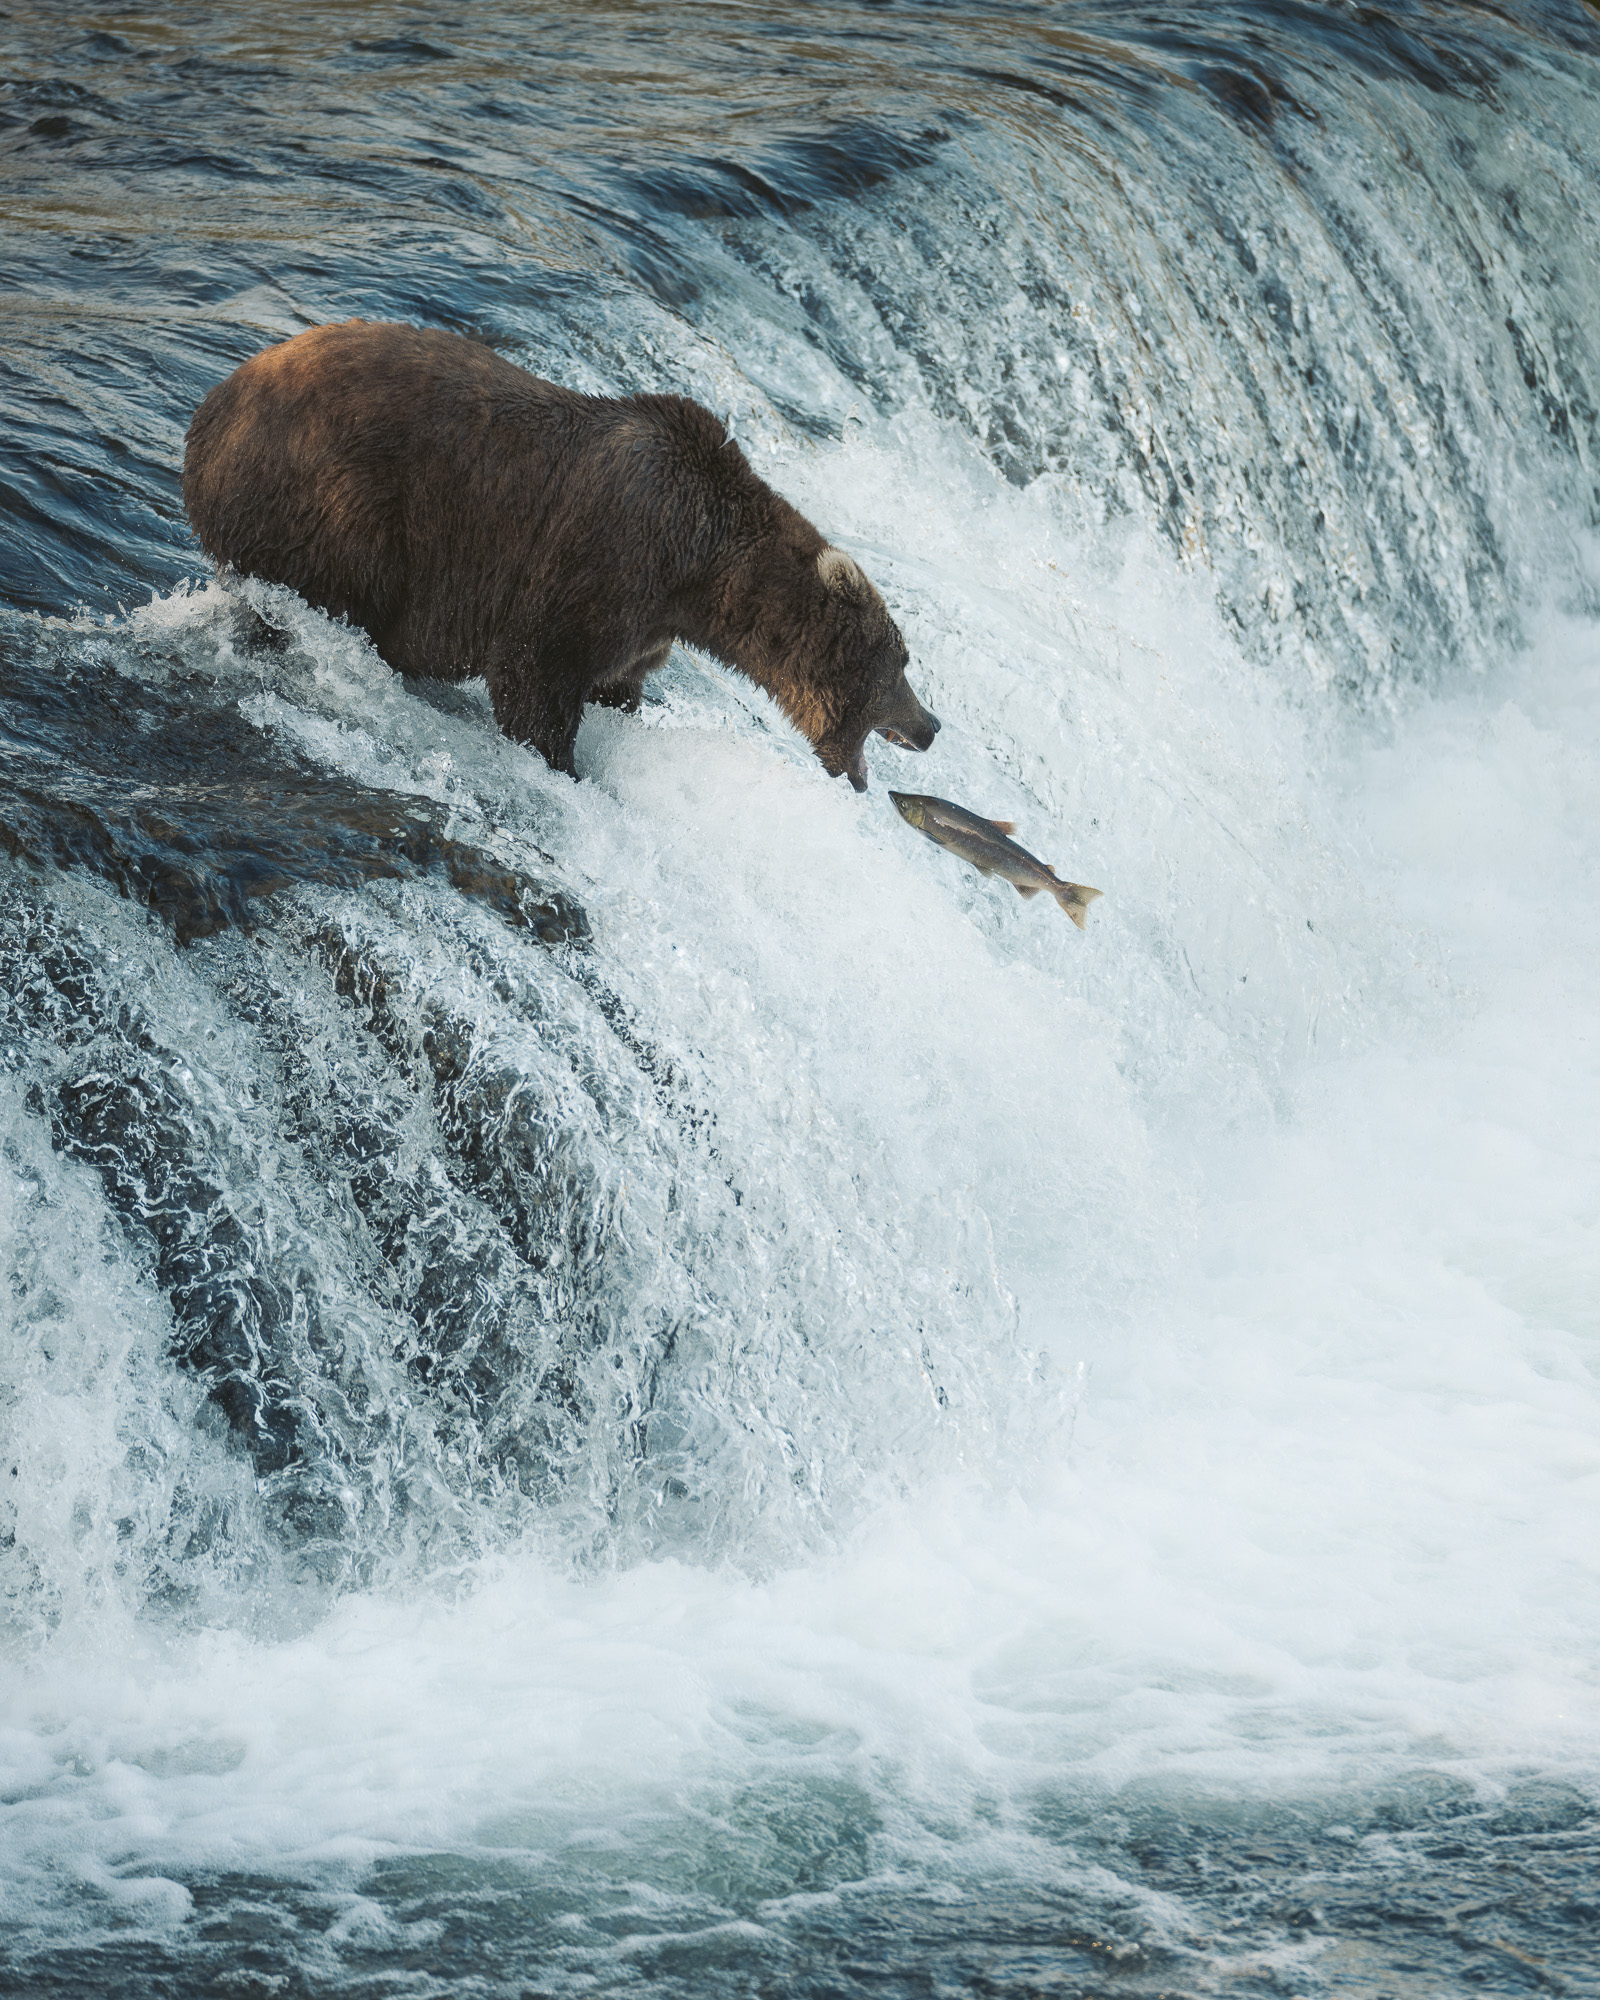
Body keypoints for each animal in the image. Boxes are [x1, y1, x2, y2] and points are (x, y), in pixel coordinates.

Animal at [182, 320, 939, 790]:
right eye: (898, 665)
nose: (930, 726)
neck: (701, 572)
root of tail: (210, 409)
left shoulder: (645, 623)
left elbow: (614, 682)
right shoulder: (607, 557)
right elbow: (535, 671)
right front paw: (563, 764)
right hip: (334, 505)